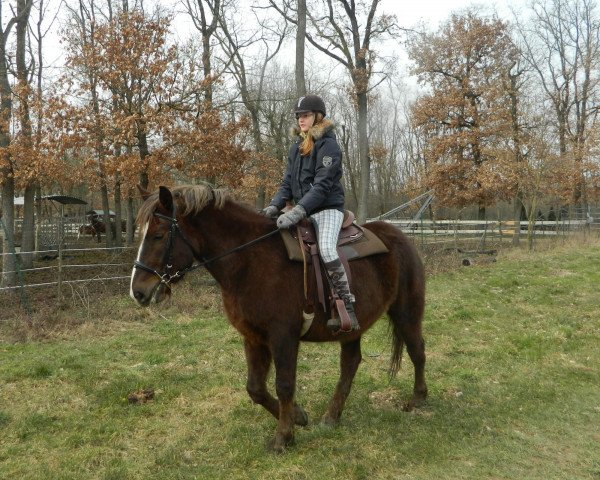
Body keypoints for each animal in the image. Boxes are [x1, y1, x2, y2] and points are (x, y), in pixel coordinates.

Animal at [131, 184, 426, 450]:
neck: (249, 261)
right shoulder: (253, 337)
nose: (138, 292)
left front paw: (283, 437)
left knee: (417, 350)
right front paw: (298, 416)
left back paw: (418, 400)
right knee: (350, 364)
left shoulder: (283, 336)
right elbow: (255, 388)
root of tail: (400, 235)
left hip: (406, 313)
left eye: (158, 236)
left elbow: (284, 384)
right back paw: (331, 417)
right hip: (351, 328)